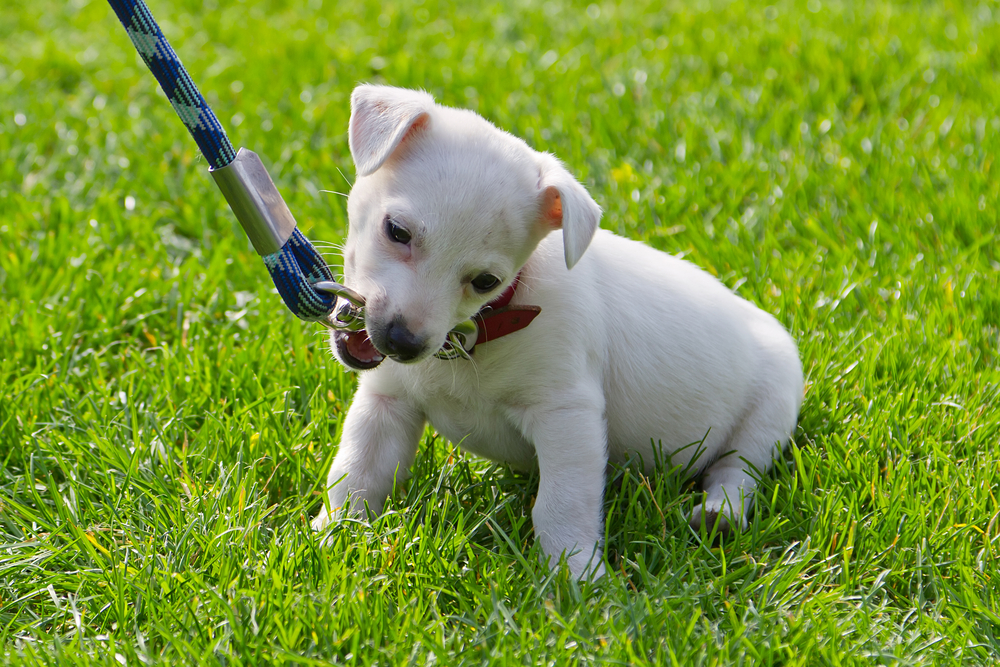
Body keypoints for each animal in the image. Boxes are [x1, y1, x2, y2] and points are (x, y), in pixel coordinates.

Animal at [314, 85, 804, 580]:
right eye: (396, 231)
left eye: (486, 281)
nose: (401, 342)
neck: (478, 333)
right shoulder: (386, 403)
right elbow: (356, 473)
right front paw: (330, 534)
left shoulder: (566, 415)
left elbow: (562, 503)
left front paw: (576, 574)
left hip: (770, 410)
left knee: (737, 470)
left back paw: (718, 514)